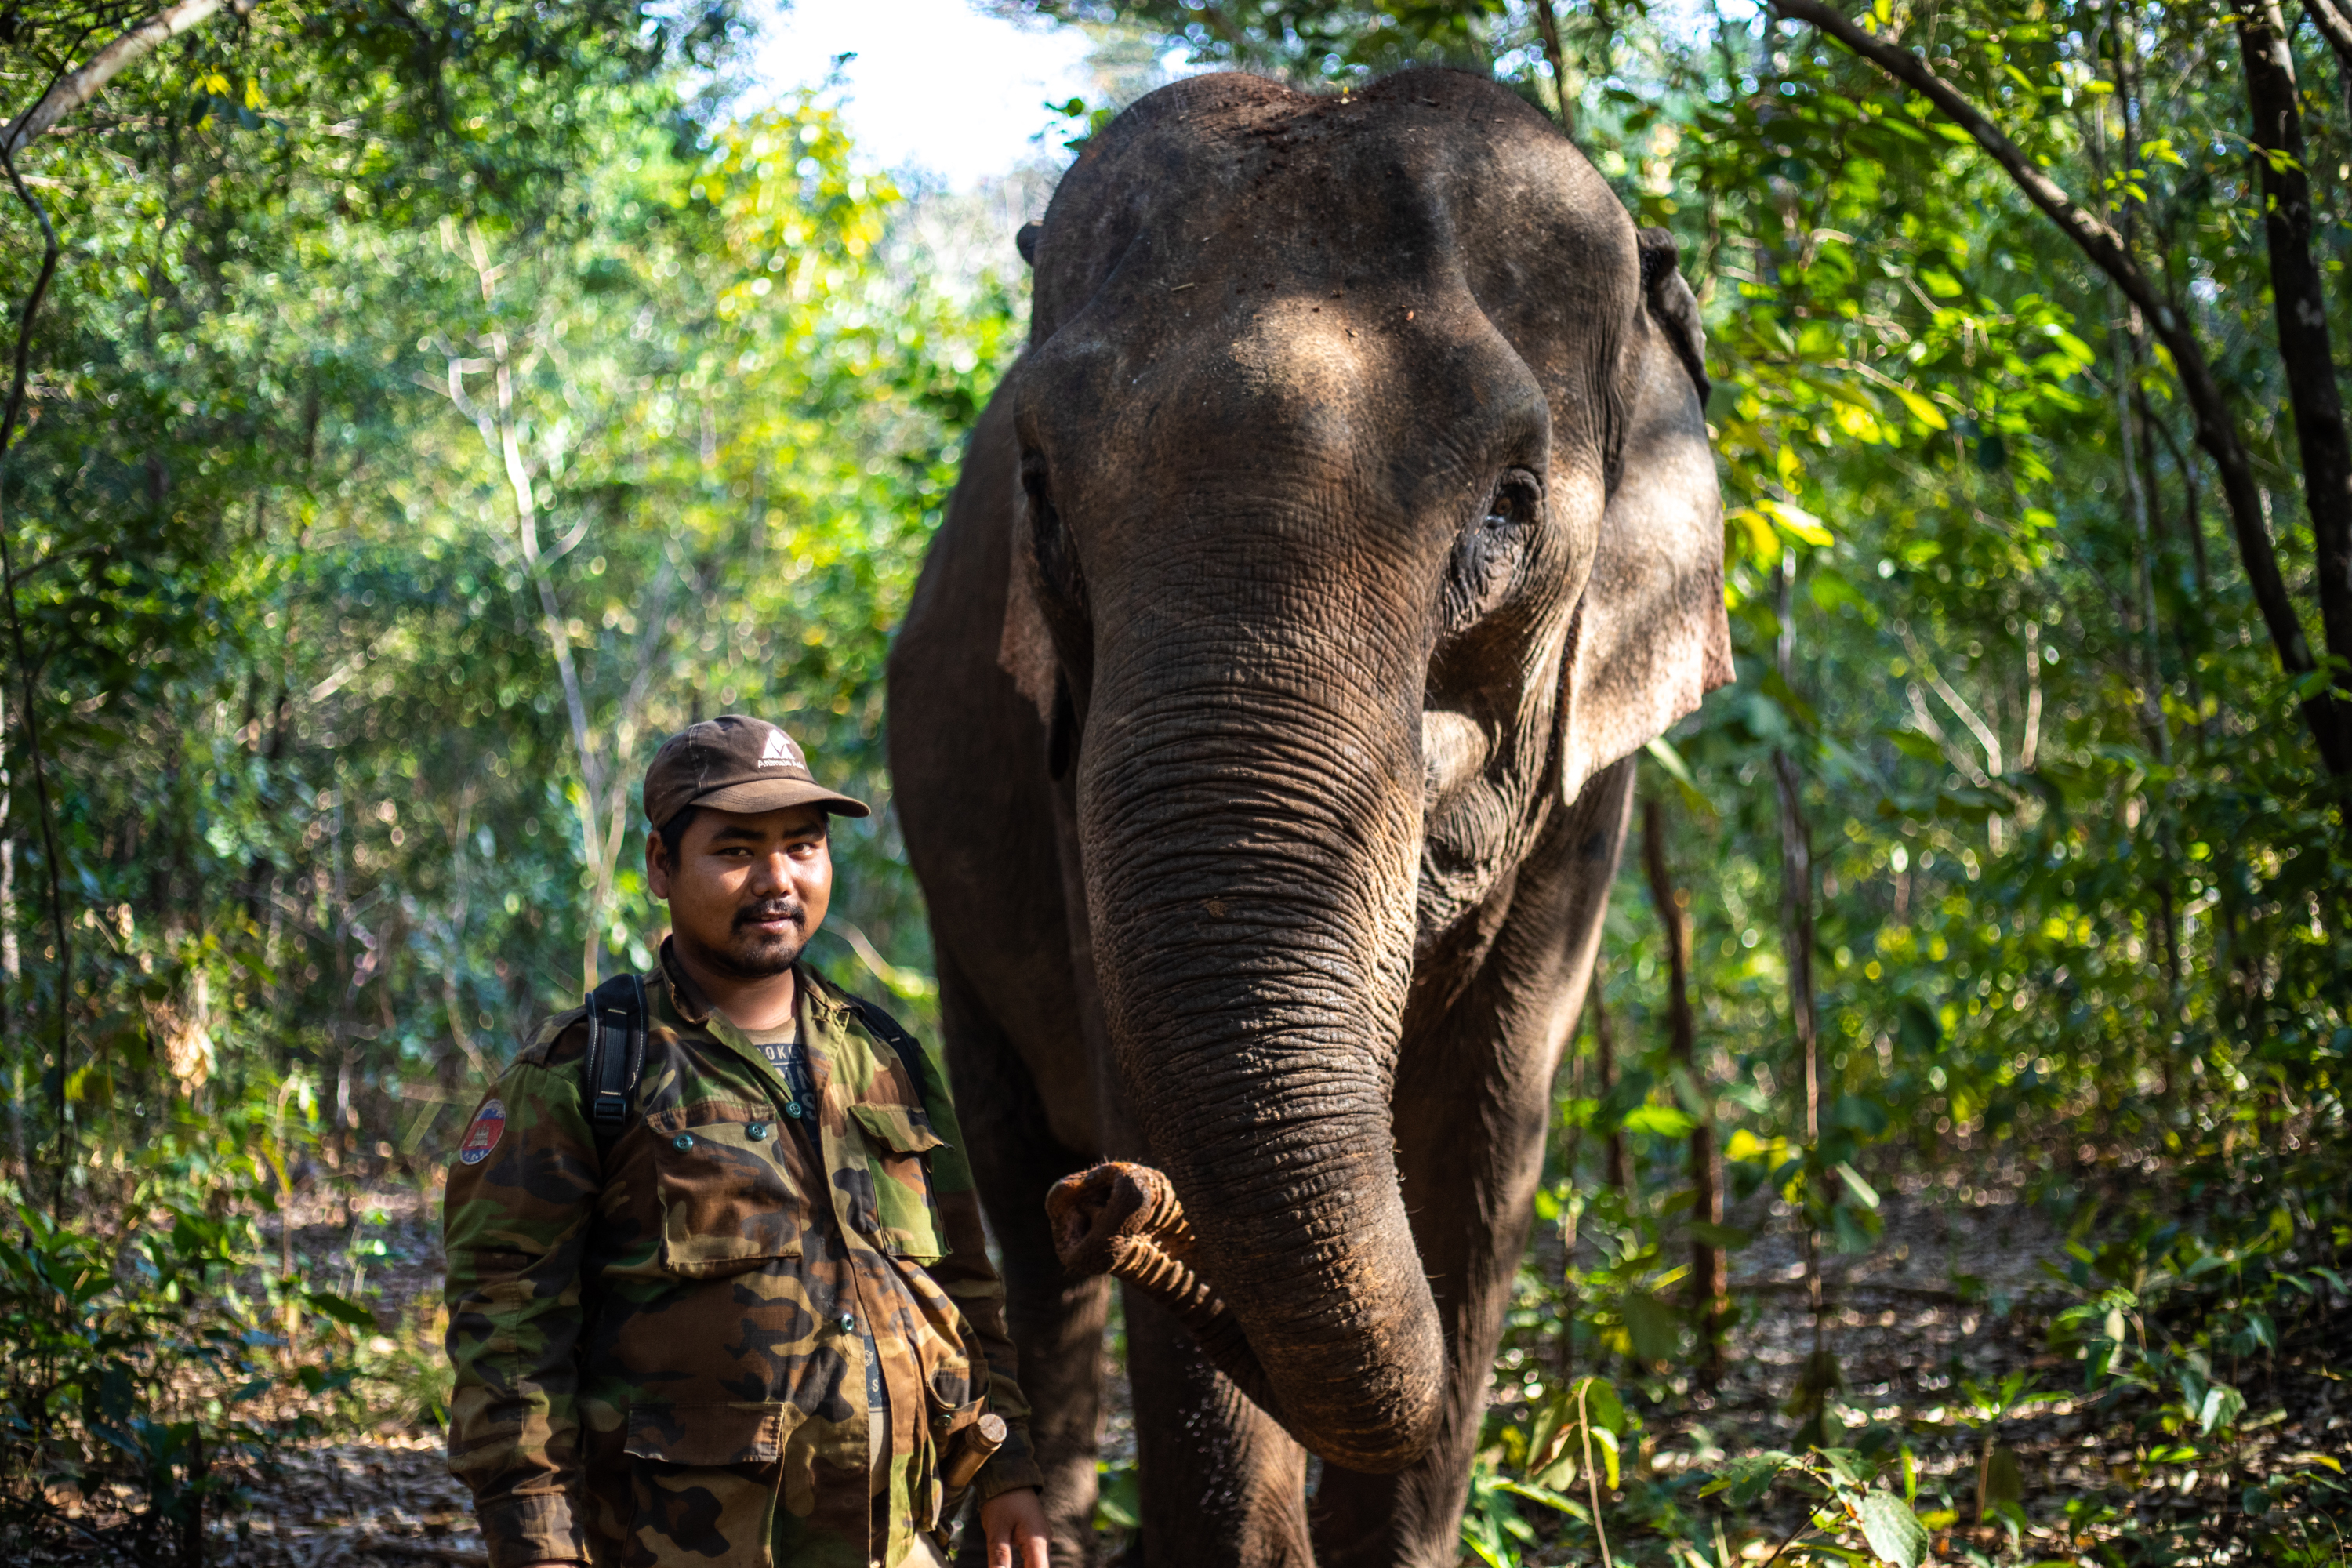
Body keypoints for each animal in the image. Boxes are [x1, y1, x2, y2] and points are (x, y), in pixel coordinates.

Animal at [886, 66, 1729, 1568]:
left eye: (1513, 503)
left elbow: (1487, 1140)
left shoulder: (1588, 783)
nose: (1115, 1200)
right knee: (1005, 1162)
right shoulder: (1067, 771)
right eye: (1038, 490)